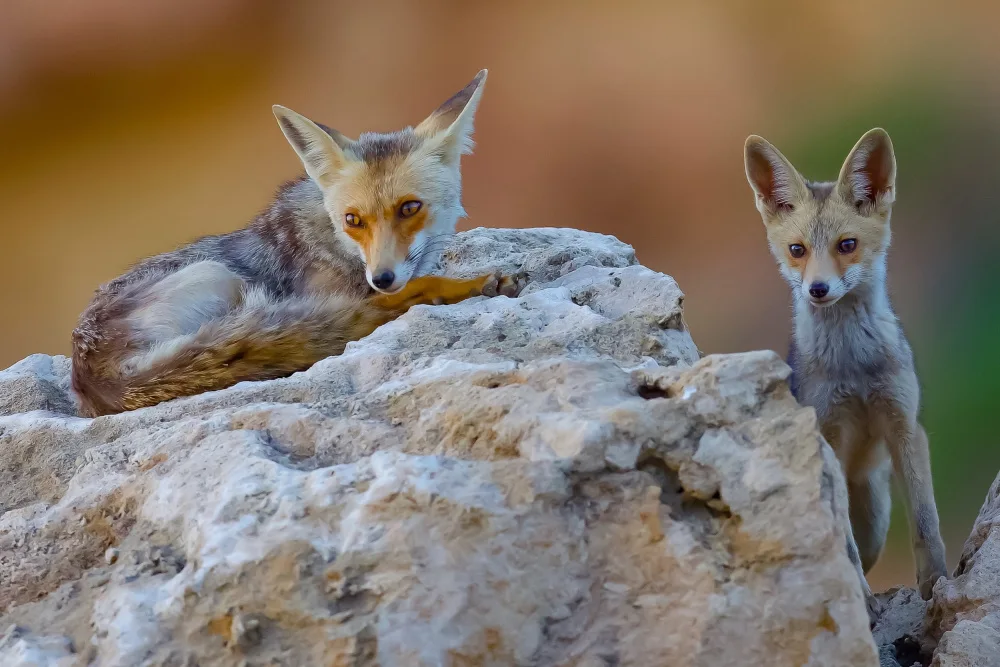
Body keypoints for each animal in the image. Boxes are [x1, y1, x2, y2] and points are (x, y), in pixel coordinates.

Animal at [72, 69, 522, 417]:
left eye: (410, 208)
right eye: (353, 220)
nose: (381, 277)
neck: (329, 239)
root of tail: (90, 377)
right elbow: (401, 293)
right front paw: (467, 283)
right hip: (217, 274)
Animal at [743, 128, 948, 622]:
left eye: (847, 245)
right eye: (797, 251)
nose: (818, 290)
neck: (853, 366)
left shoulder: (905, 424)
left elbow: (927, 521)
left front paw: (938, 585)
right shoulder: (827, 438)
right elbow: (845, 549)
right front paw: (864, 604)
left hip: (876, 519)